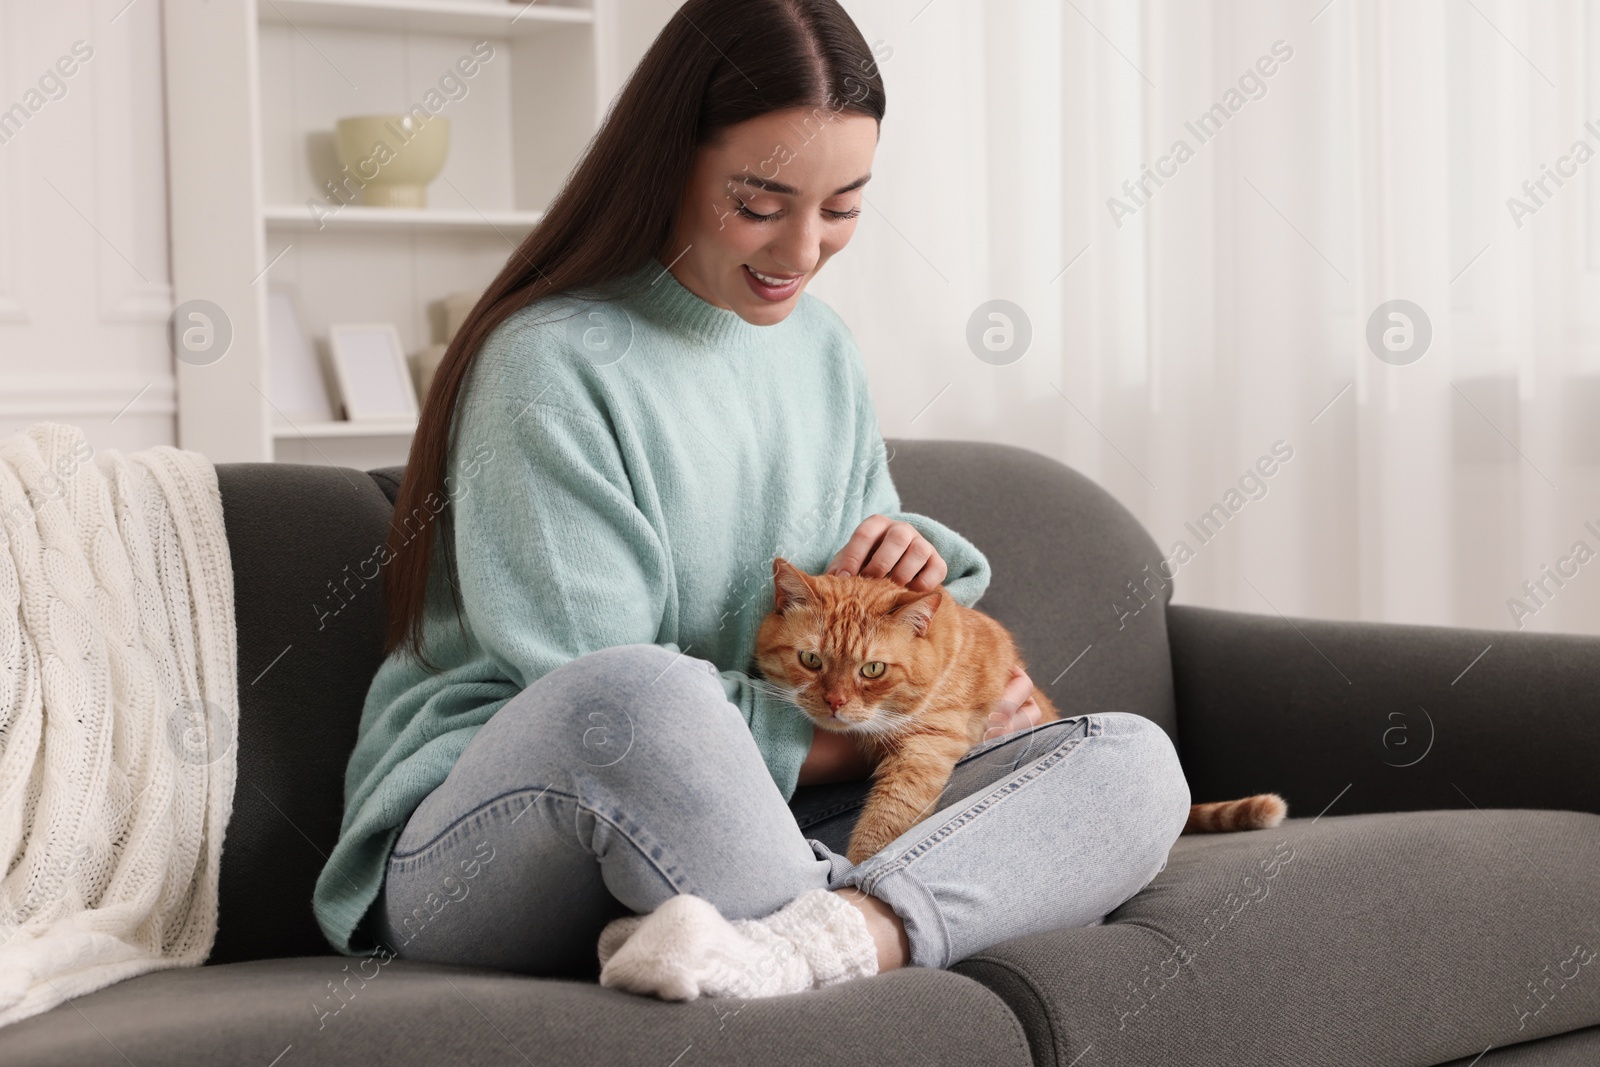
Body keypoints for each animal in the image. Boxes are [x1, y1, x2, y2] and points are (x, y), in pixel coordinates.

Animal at [748, 559, 1286, 870]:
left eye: (872, 669)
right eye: (811, 660)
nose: (836, 703)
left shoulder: (928, 746)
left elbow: (888, 817)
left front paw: (859, 867)